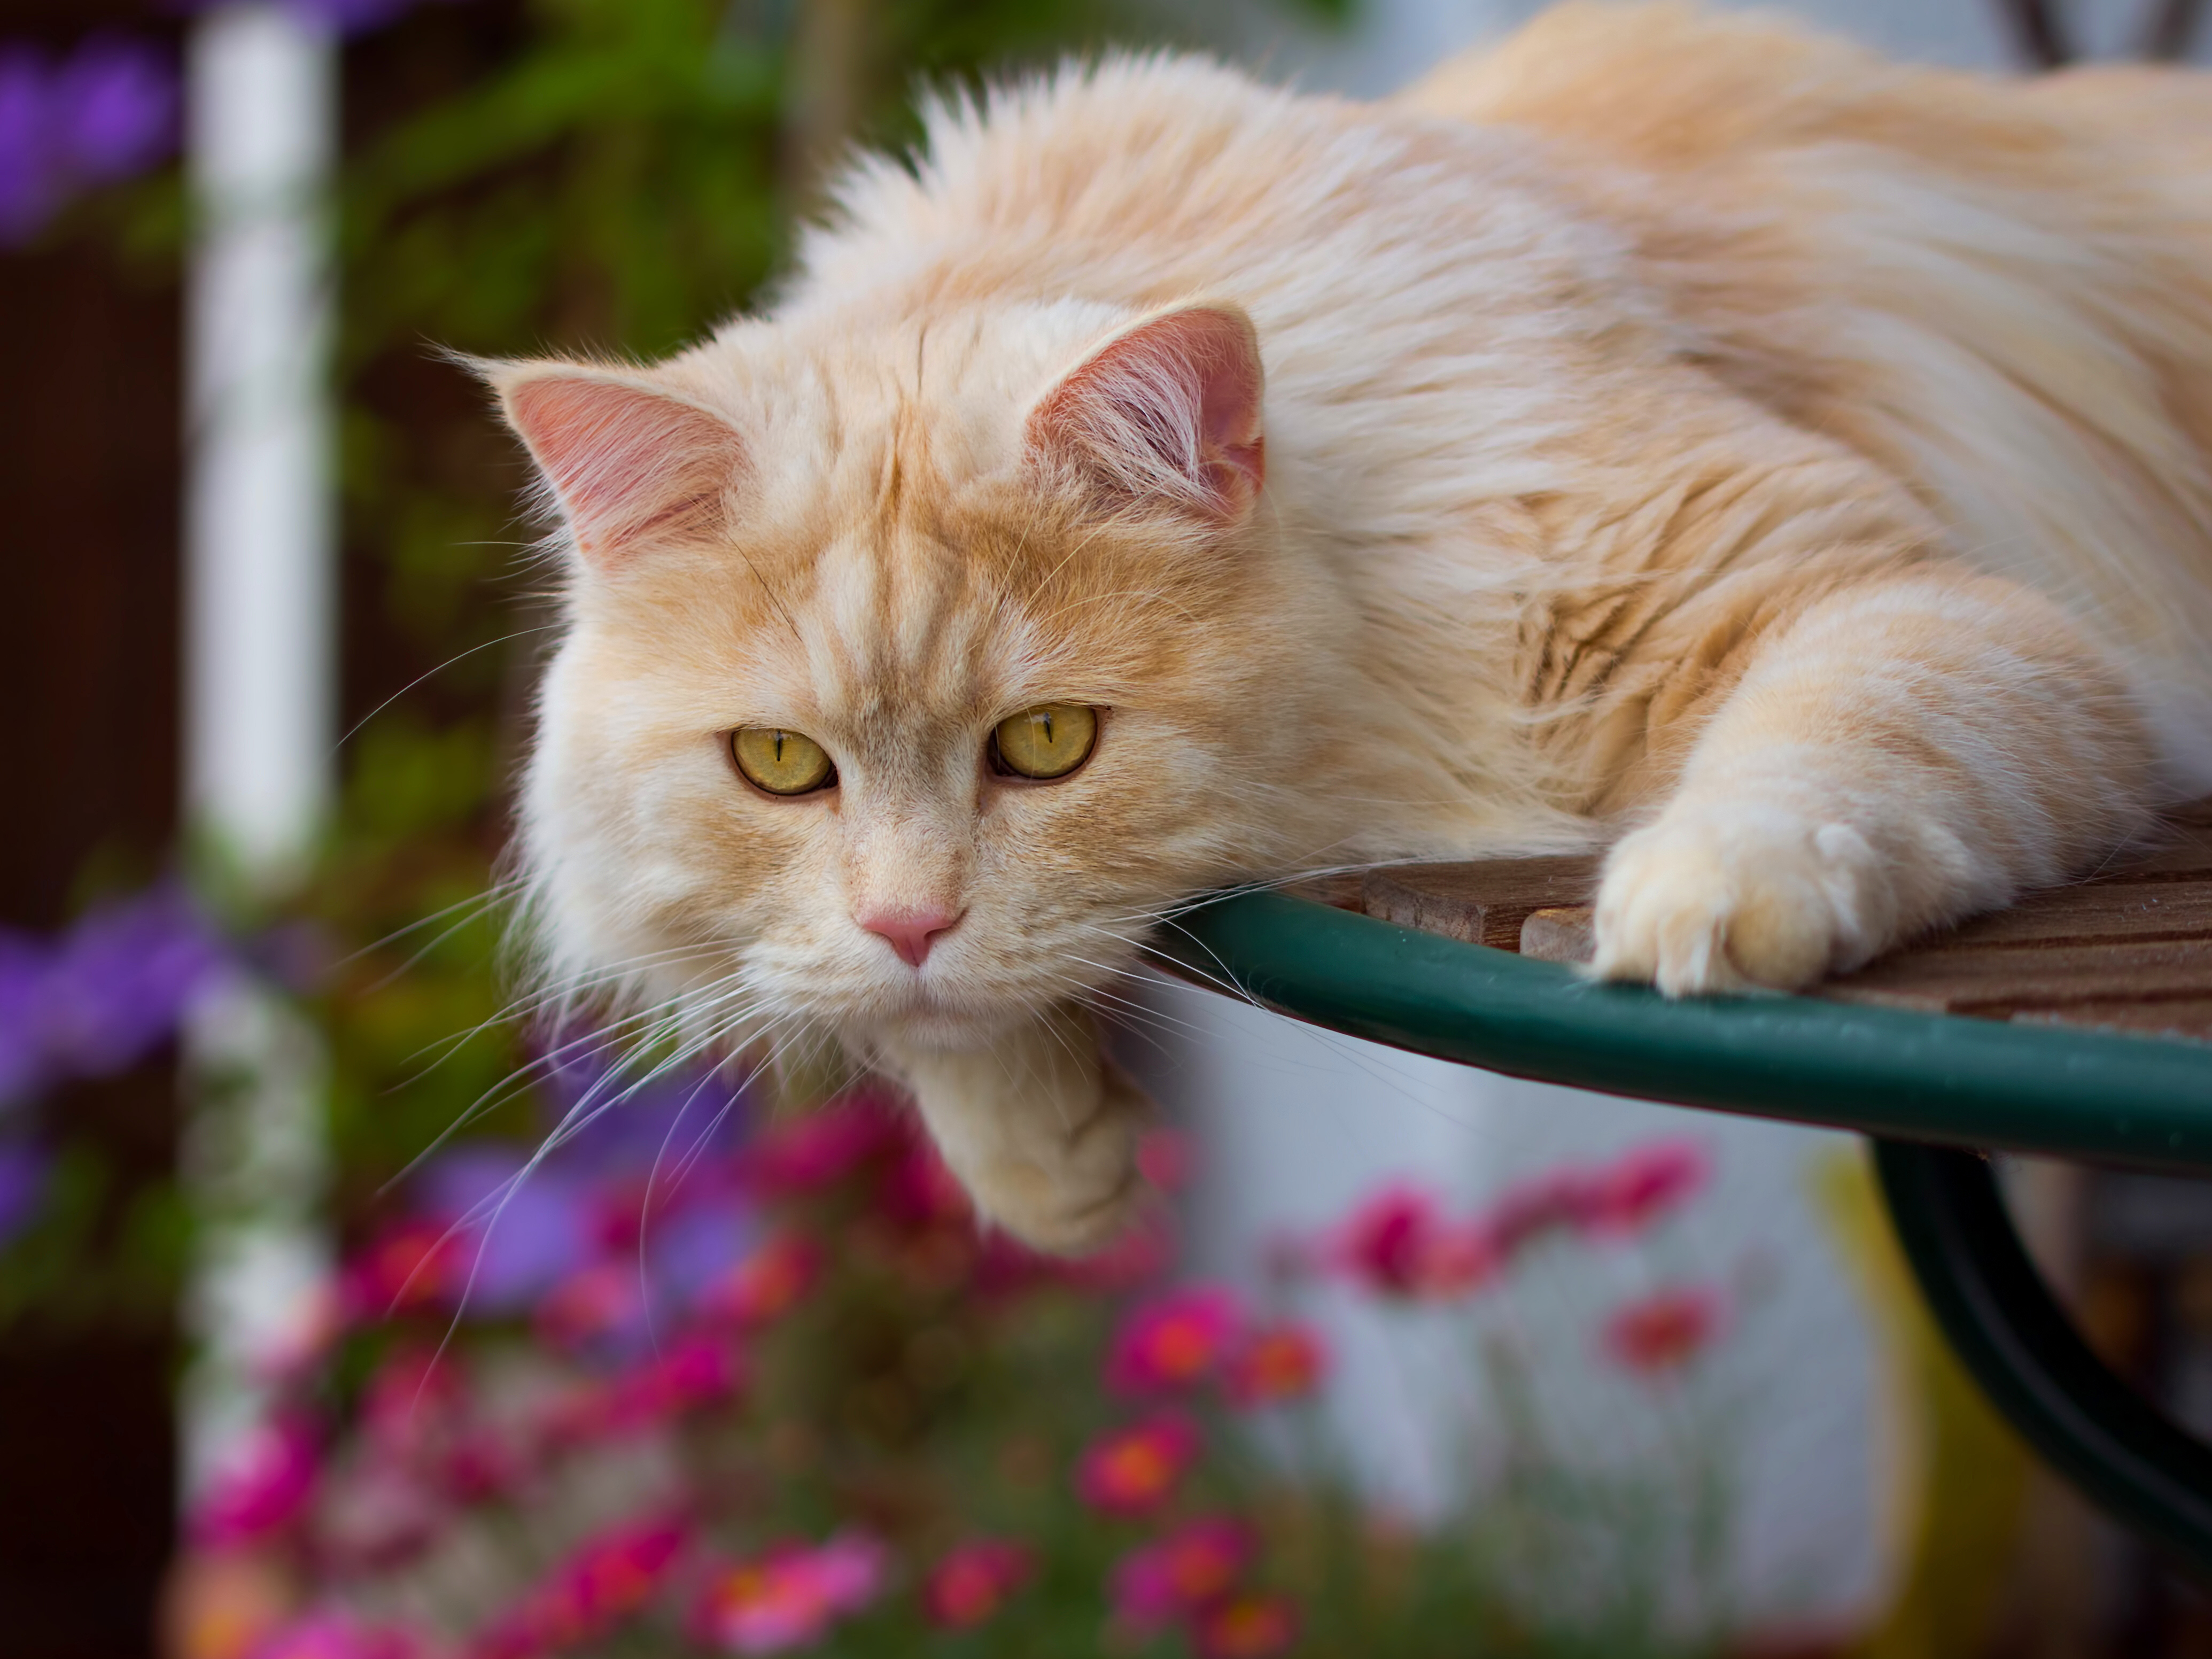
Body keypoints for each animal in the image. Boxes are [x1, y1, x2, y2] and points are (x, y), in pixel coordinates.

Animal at [484, 6, 2212, 1256]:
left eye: (1045, 743)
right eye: (779, 765)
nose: (911, 923)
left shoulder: (1913, 601)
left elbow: (1825, 744)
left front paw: (1699, 904)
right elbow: (925, 1026)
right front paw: (1047, 1162)